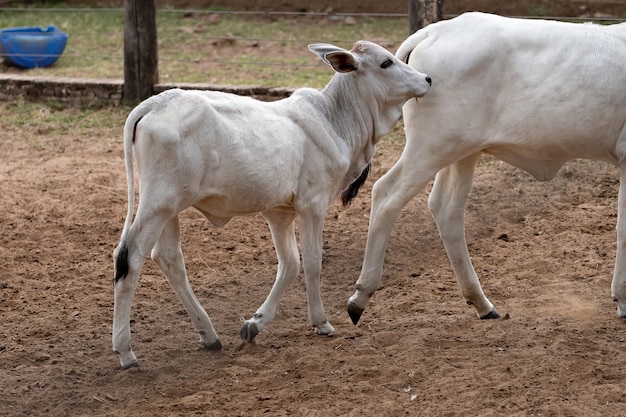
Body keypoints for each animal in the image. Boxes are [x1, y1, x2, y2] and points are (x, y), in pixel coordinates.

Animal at [112, 40, 432, 368]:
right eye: (386, 63)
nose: (427, 79)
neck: (333, 119)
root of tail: (155, 103)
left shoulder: (279, 213)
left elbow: (290, 264)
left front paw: (255, 323)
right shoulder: (313, 206)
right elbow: (312, 262)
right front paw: (321, 322)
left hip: (169, 210)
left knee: (168, 259)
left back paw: (208, 334)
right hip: (158, 205)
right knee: (131, 258)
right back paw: (126, 351)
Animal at [346, 13, 624, 324]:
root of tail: (436, 30)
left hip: (463, 151)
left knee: (446, 209)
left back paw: (481, 302)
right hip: (431, 147)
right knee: (386, 194)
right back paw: (361, 296)